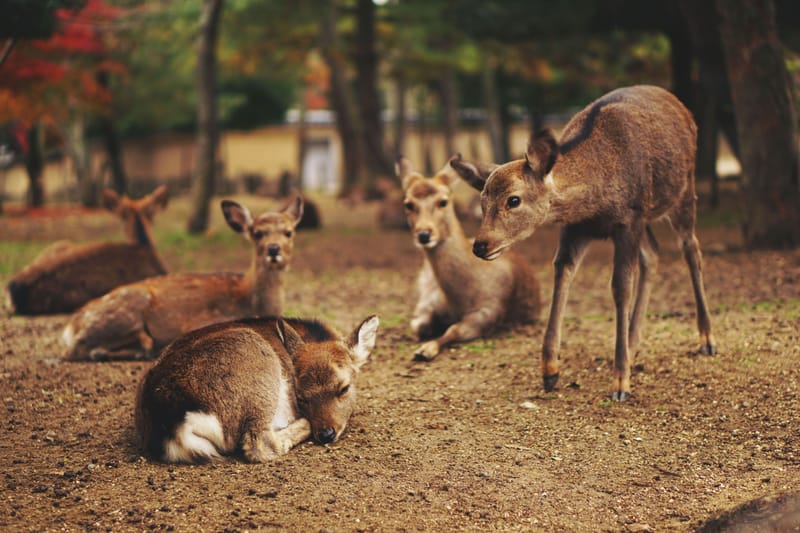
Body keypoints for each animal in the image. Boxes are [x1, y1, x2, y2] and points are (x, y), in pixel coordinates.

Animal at [62, 195, 304, 361]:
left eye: (289, 232)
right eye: (257, 233)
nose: (273, 249)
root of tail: (70, 327)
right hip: (125, 311)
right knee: (81, 349)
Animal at [398, 157, 540, 361]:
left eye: (443, 201)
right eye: (408, 204)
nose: (424, 234)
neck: (458, 299)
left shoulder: (490, 310)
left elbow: (454, 329)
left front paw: (425, 350)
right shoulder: (429, 300)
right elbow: (418, 324)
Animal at [449, 85, 715, 401]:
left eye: (513, 200)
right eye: (482, 201)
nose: (480, 245)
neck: (595, 202)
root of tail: (679, 105)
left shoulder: (628, 219)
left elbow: (620, 287)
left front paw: (620, 383)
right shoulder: (576, 227)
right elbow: (562, 273)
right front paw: (550, 371)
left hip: (683, 190)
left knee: (691, 249)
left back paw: (707, 340)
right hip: (649, 218)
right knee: (653, 253)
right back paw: (633, 342)